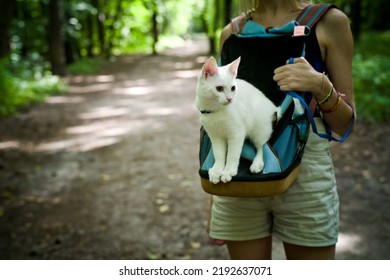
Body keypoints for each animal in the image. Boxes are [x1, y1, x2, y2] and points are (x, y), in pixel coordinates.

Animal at [197, 56, 278, 184]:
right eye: (219, 89)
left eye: (233, 88)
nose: (230, 99)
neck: (216, 110)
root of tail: (273, 107)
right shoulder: (215, 136)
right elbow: (218, 154)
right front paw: (217, 169)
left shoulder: (237, 134)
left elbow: (232, 154)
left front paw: (228, 171)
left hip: (259, 130)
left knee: (261, 147)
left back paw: (257, 163)